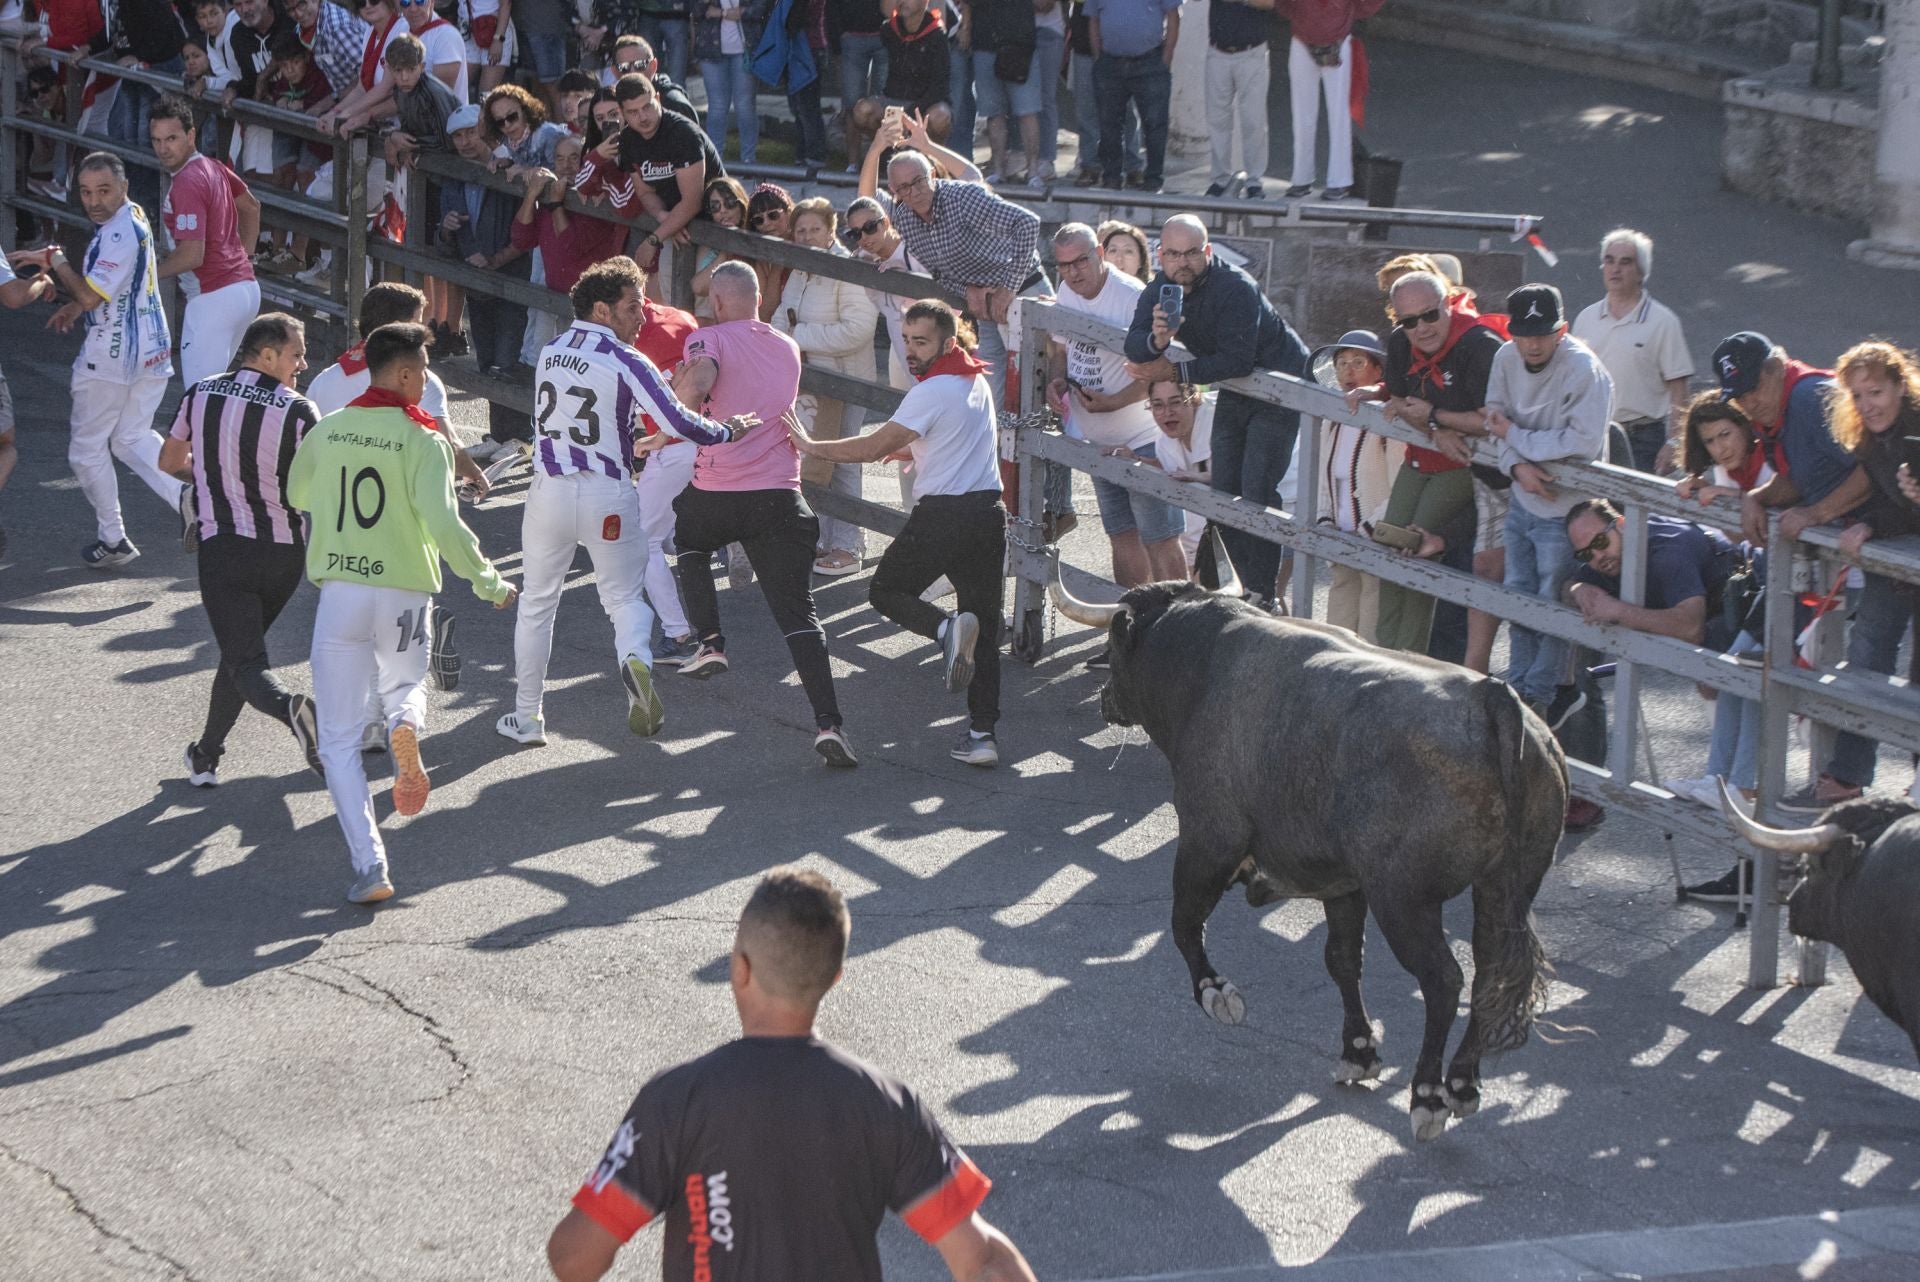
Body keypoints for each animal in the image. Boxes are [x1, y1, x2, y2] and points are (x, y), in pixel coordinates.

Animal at [1059, 579, 1566, 1143]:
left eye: (1115, 648)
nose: (1103, 697)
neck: (1204, 661)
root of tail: (1492, 696)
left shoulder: (1209, 840)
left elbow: (1184, 923)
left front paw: (1216, 993)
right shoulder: (1341, 883)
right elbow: (1342, 960)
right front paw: (1359, 1052)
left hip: (1404, 900)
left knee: (1443, 981)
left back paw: (1429, 1095)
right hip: (1503, 888)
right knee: (1488, 974)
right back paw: (1462, 1082)